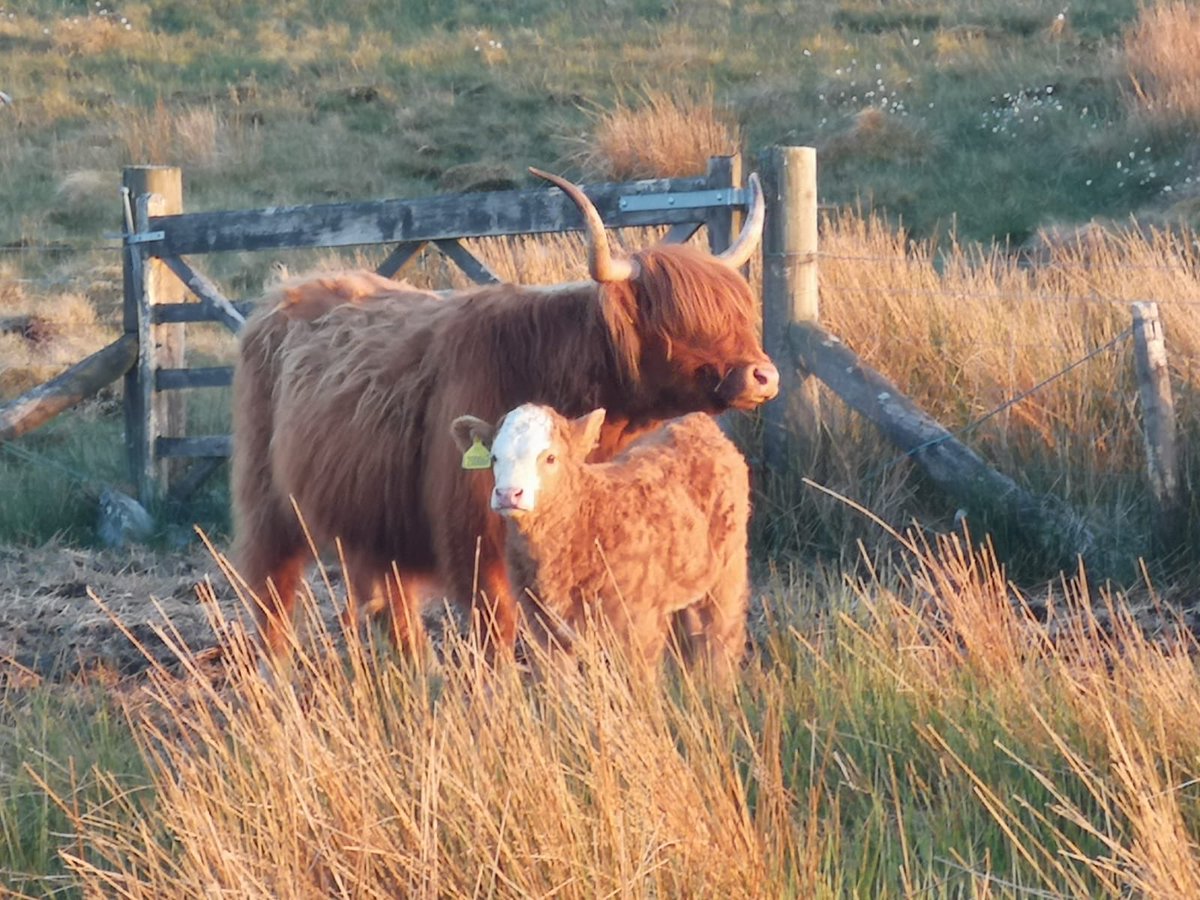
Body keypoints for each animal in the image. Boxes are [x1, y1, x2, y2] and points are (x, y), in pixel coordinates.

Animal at [451, 404, 750, 679]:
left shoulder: (638, 630)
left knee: (722, 644)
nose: (508, 494)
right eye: (494, 457)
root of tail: (694, 419)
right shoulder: (545, 630)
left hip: (728, 578)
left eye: (550, 457)